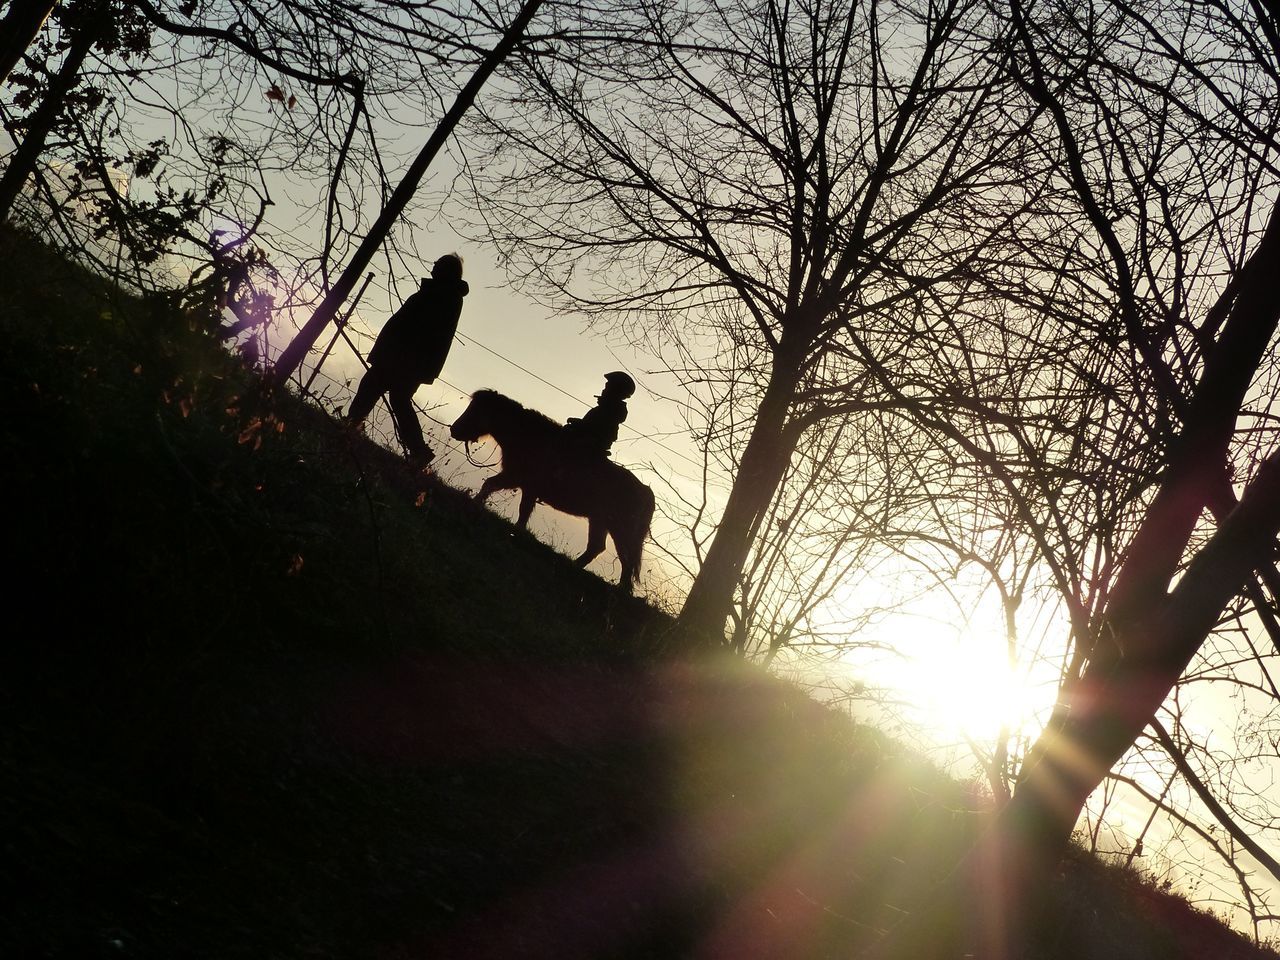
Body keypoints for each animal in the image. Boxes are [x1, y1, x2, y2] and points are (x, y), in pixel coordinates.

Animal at [450, 386, 655, 591]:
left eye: (477, 410)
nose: (454, 429)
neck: (531, 437)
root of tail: (646, 492)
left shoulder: (516, 479)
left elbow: (514, 504)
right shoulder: (520, 482)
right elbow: (499, 492)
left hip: (621, 530)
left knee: (626, 560)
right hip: (600, 521)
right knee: (597, 548)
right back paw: (574, 566)